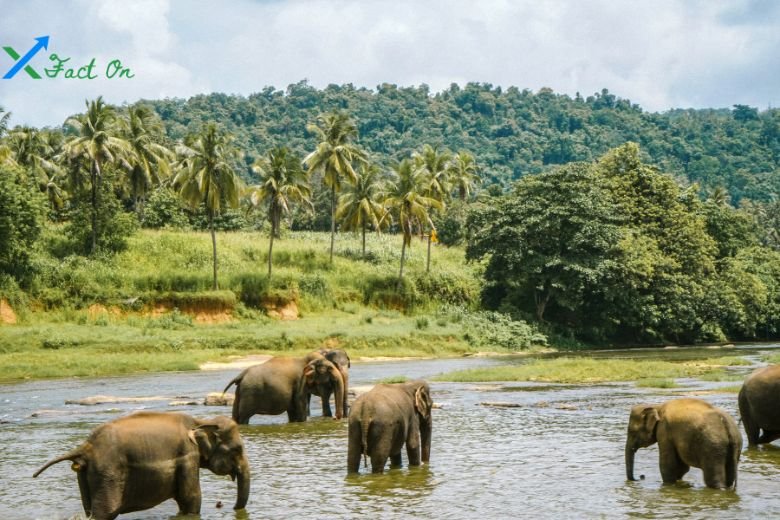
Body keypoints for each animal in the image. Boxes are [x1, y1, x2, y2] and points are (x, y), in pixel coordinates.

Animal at [31, 410, 247, 520]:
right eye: (237, 449)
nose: (228, 507)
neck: (199, 420)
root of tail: (86, 446)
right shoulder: (187, 455)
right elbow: (191, 499)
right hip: (108, 473)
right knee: (104, 512)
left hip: (85, 474)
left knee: (90, 510)